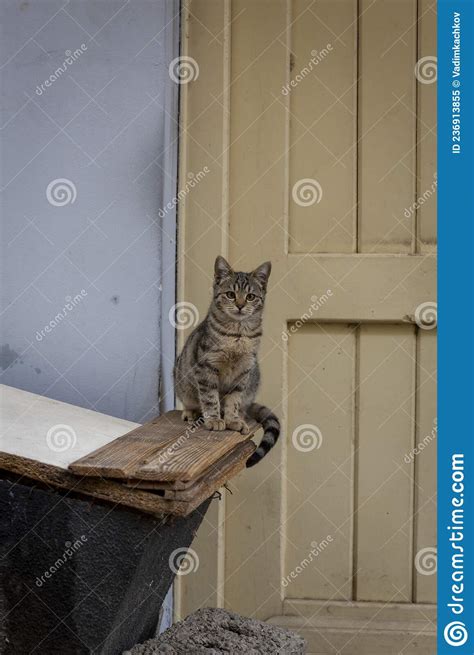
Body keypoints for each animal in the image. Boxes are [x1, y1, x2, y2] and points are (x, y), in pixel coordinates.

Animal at [174, 255, 280, 466]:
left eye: (250, 297)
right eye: (231, 294)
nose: (240, 305)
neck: (237, 335)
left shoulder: (244, 371)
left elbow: (234, 400)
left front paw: (232, 419)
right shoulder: (206, 367)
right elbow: (210, 398)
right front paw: (214, 419)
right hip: (182, 381)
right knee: (191, 401)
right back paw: (191, 412)